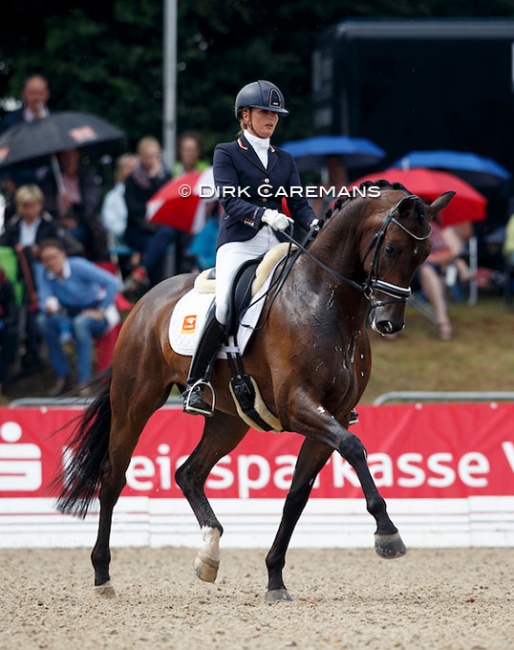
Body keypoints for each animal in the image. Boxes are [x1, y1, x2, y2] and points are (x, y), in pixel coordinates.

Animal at [54, 180, 452, 600]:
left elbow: (297, 495)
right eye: (391, 248)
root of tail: (145, 300)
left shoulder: (335, 415)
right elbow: (355, 448)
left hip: (229, 421)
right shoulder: (299, 406)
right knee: (113, 476)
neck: (324, 299)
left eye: (425, 254)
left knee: (189, 473)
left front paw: (275, 578)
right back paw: (102, 575)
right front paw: (387, 534)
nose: (390, 323)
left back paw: (208, 556)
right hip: (135, 402)